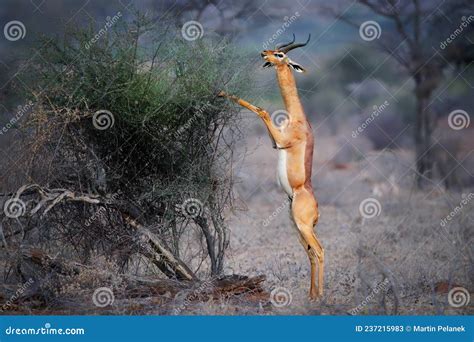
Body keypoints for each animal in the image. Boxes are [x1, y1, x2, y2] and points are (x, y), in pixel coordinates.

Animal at [219, 34, 326, 300]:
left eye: (280, 55)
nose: (263, 53)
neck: (297, 119)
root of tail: (316, 208)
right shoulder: (274, 143)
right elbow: (261, 111)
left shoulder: (281, 140)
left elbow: (262, 110)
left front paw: (222, 92)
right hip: (297, 227)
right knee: (310, 253)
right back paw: (311, 295)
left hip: (303, 226)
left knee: (320, 251)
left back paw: (321, 296)